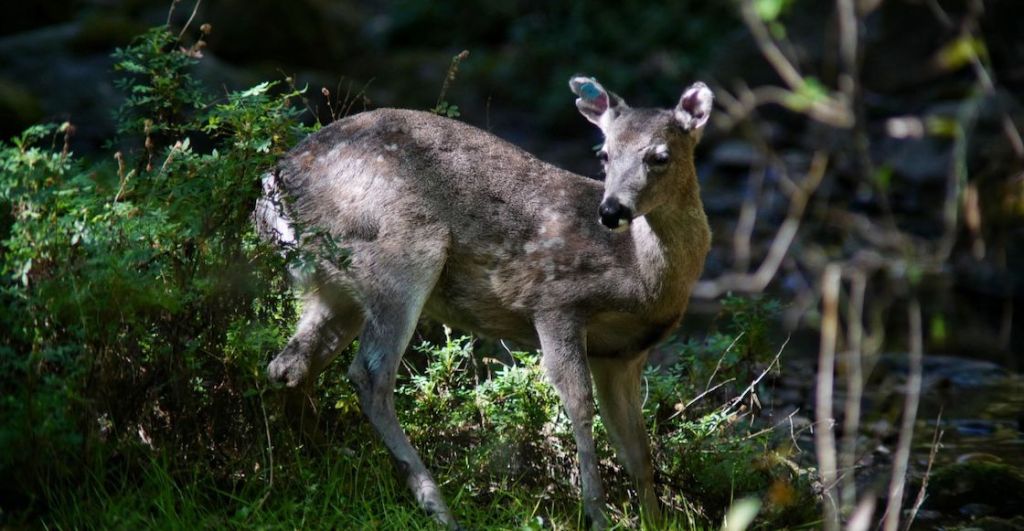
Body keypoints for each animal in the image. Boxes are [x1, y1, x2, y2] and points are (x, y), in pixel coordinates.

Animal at [256, 75, 712, 531]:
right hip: (402, 250)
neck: (639, 276)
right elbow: (580, 407)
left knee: (289, 365)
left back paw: (318, 465)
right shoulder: (555, 301)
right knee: (369, 375)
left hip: (337, 290)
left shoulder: (623, 354)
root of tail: (274, 185)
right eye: (603, 154)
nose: (612, 210)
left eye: (660, 156)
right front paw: (597, 514)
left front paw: (654, 519)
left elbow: (637, 447)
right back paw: (436, 506)